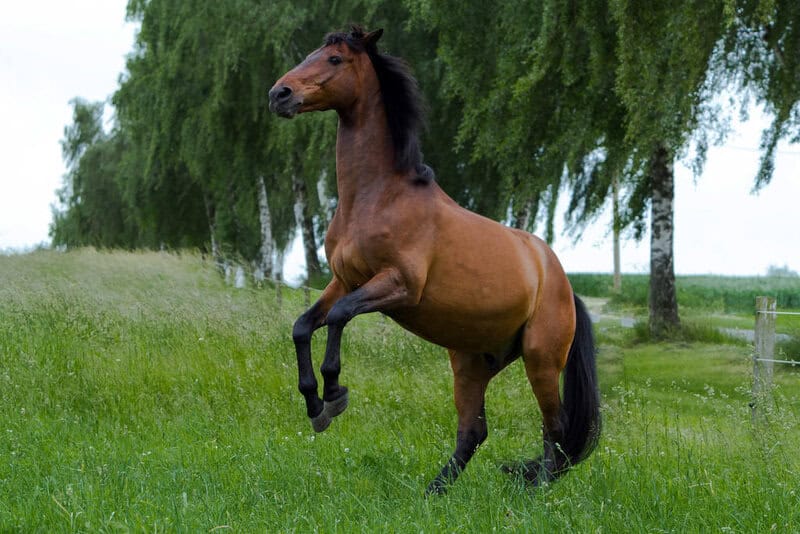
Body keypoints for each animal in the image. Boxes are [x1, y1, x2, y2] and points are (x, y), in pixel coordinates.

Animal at [269, 26, 600, 494]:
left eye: (334, 59)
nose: (279, 94)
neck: (377, 198)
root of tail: (563, 284)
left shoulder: (399, 285)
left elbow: (338, 317)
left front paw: (334, 395)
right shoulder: (345, 280)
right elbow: (303, 325)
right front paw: (315, 405)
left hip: (542, 359)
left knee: (554, 427)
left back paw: (534, 492)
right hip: (470, 363)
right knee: (473, 432)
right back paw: (433, 494)